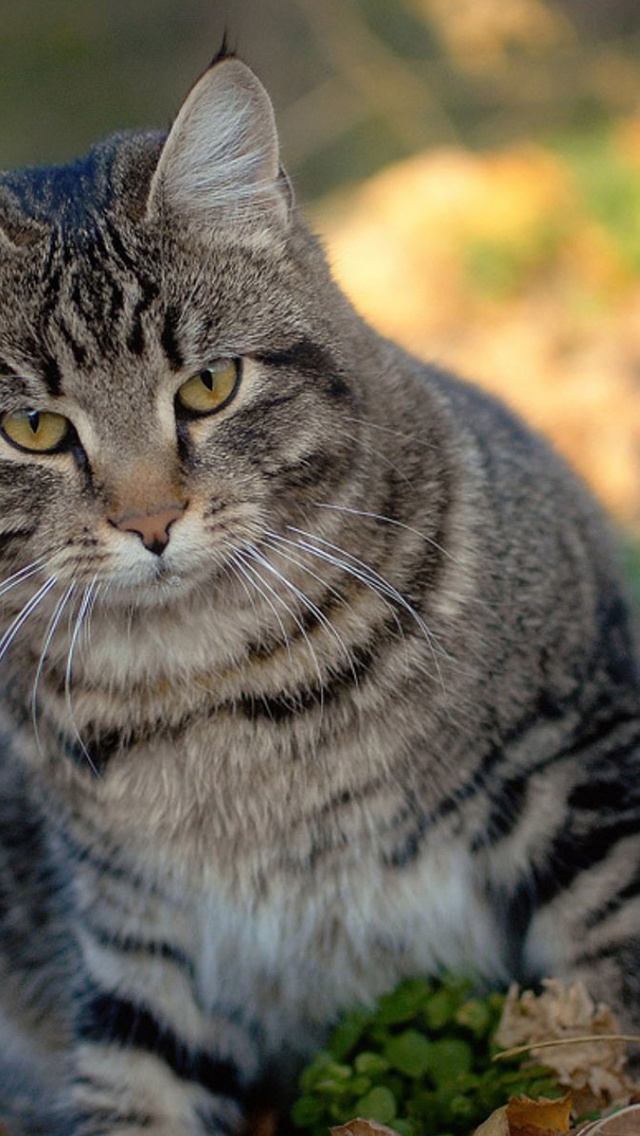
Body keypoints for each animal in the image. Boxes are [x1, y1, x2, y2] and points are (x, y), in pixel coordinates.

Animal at [0, 51, 640, 1136]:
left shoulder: (579, 760)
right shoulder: (140, 943)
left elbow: (610, 1021)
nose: (151, 521)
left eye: (209, 385)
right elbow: (137, 1097)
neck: (203, 684)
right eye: (34, 430)